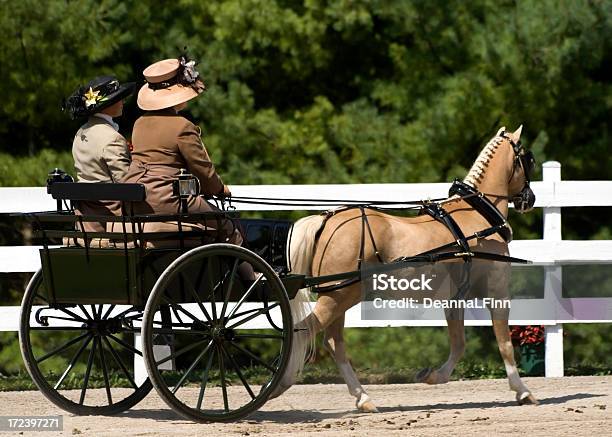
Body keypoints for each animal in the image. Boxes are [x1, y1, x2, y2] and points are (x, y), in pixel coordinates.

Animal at [272, 125, 536, 408]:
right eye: (528, 159)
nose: (530, 199)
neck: (477, 217)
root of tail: (327, 221)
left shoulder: (455, 298)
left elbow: (459, 344)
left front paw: (432, 375)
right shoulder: (497, 290)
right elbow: (504, 343)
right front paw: (522, 390)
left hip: (338, 297)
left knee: (333, 342)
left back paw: (363, 397)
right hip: (339, 297)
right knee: (304, 331)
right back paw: (283, 383)